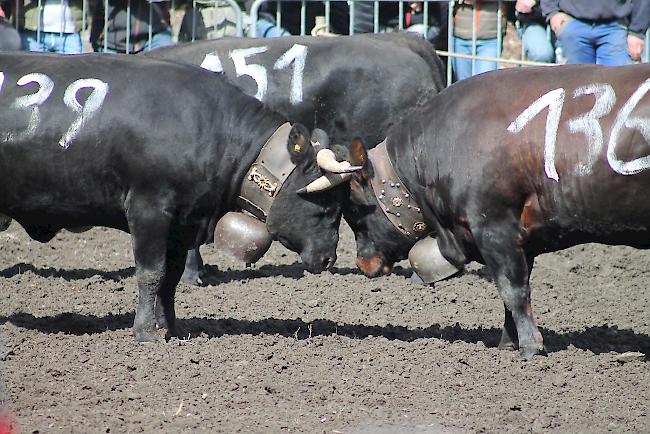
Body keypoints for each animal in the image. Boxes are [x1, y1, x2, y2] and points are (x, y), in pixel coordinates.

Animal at [344, 62, 650, 358]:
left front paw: (530, 347)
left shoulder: (494, 227)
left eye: (356, 210)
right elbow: (511, 295)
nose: (362, 263)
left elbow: (512, 289)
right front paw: (507, 344)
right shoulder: (522, 237)